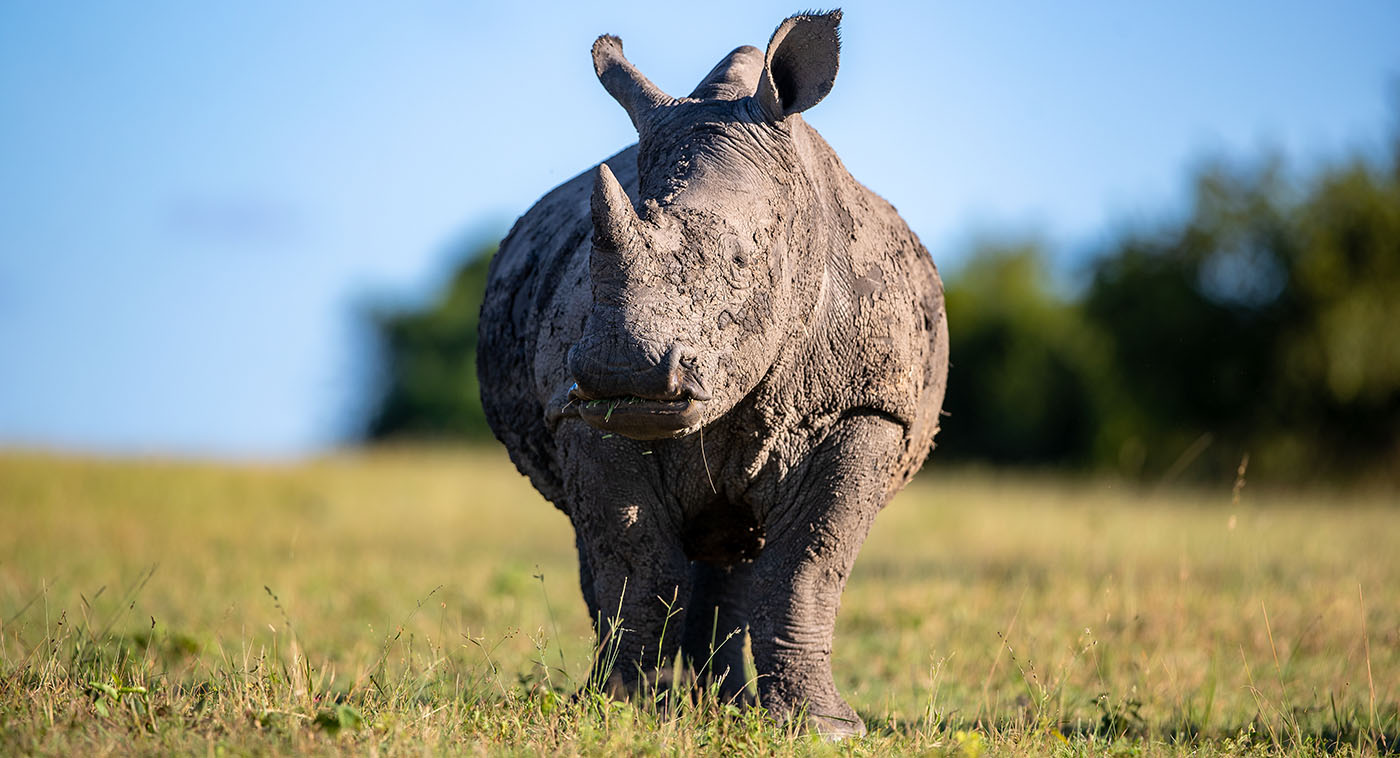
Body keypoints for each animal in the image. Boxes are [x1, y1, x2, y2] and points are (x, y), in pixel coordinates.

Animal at [481, 10, 952, 734]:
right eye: (590, 262)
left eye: (742, 262)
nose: (625, 375)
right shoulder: (581, 415)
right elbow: (634, 564)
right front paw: (617, 710)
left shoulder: (866, 407)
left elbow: (807, 564)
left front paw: (823, 728)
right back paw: (699, 701)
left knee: (735, 555)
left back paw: (727, 706)